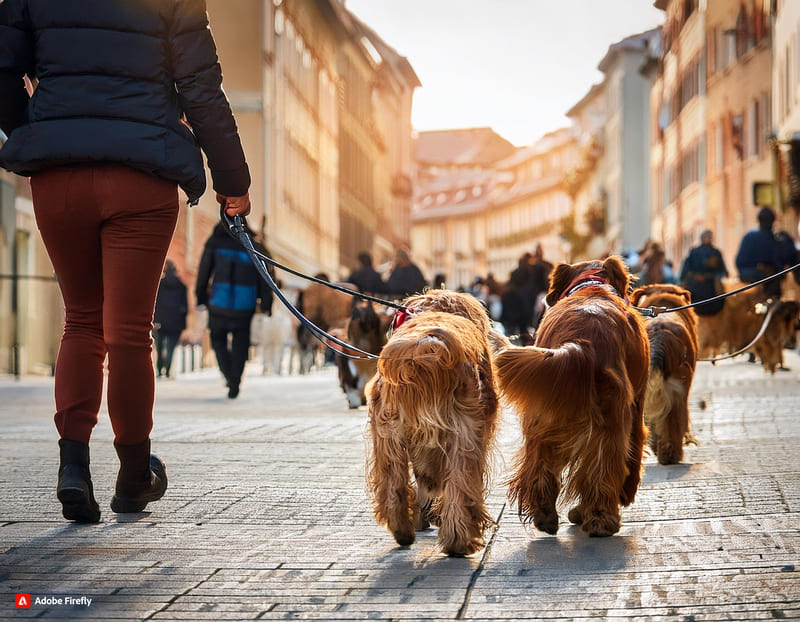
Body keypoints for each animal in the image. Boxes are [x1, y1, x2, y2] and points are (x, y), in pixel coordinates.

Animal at [364, 290, 500, 560]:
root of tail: (427, 343)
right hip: (465, 433)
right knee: (460, 483)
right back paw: (460, 541)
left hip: (388, 433)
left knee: (393, 485)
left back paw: (402, 529)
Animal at [494, 256, 648, 540]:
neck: (592, 285)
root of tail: (581, 342)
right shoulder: (637, 405)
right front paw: (625, 494)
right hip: (612, 418)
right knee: (603, 467)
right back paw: (599, 517)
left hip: (545, 414)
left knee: (543, 465)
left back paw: (552, 515)